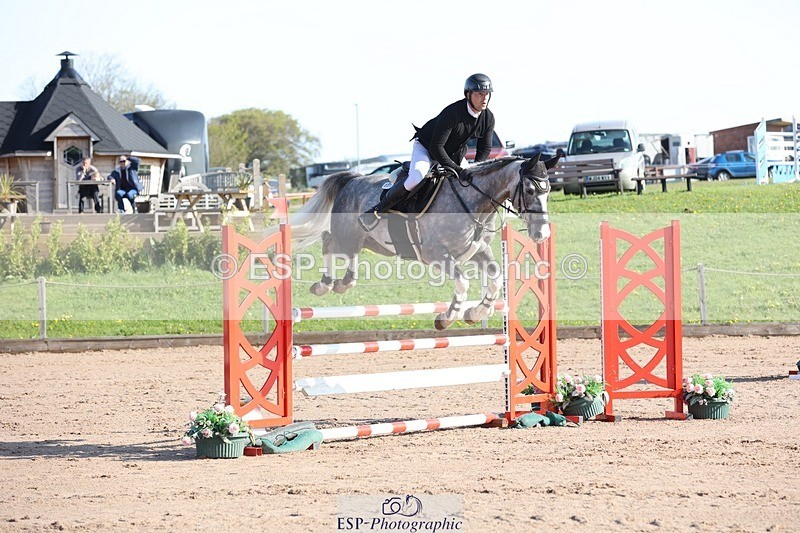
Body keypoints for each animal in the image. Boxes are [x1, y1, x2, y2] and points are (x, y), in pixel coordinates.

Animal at [271, 154, 559, 330]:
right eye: (530, 190)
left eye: (548, 192)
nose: (542, 234)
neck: (473, 202)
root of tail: (353, 178)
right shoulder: (437, 255)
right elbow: (463, 282)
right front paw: (447, 317)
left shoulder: (479, 250)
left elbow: (496, 277)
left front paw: (475, 313)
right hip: (347, 235)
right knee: (328, 242)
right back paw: (325, 284)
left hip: (369, 242)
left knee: (348, 253)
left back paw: (345, 282)